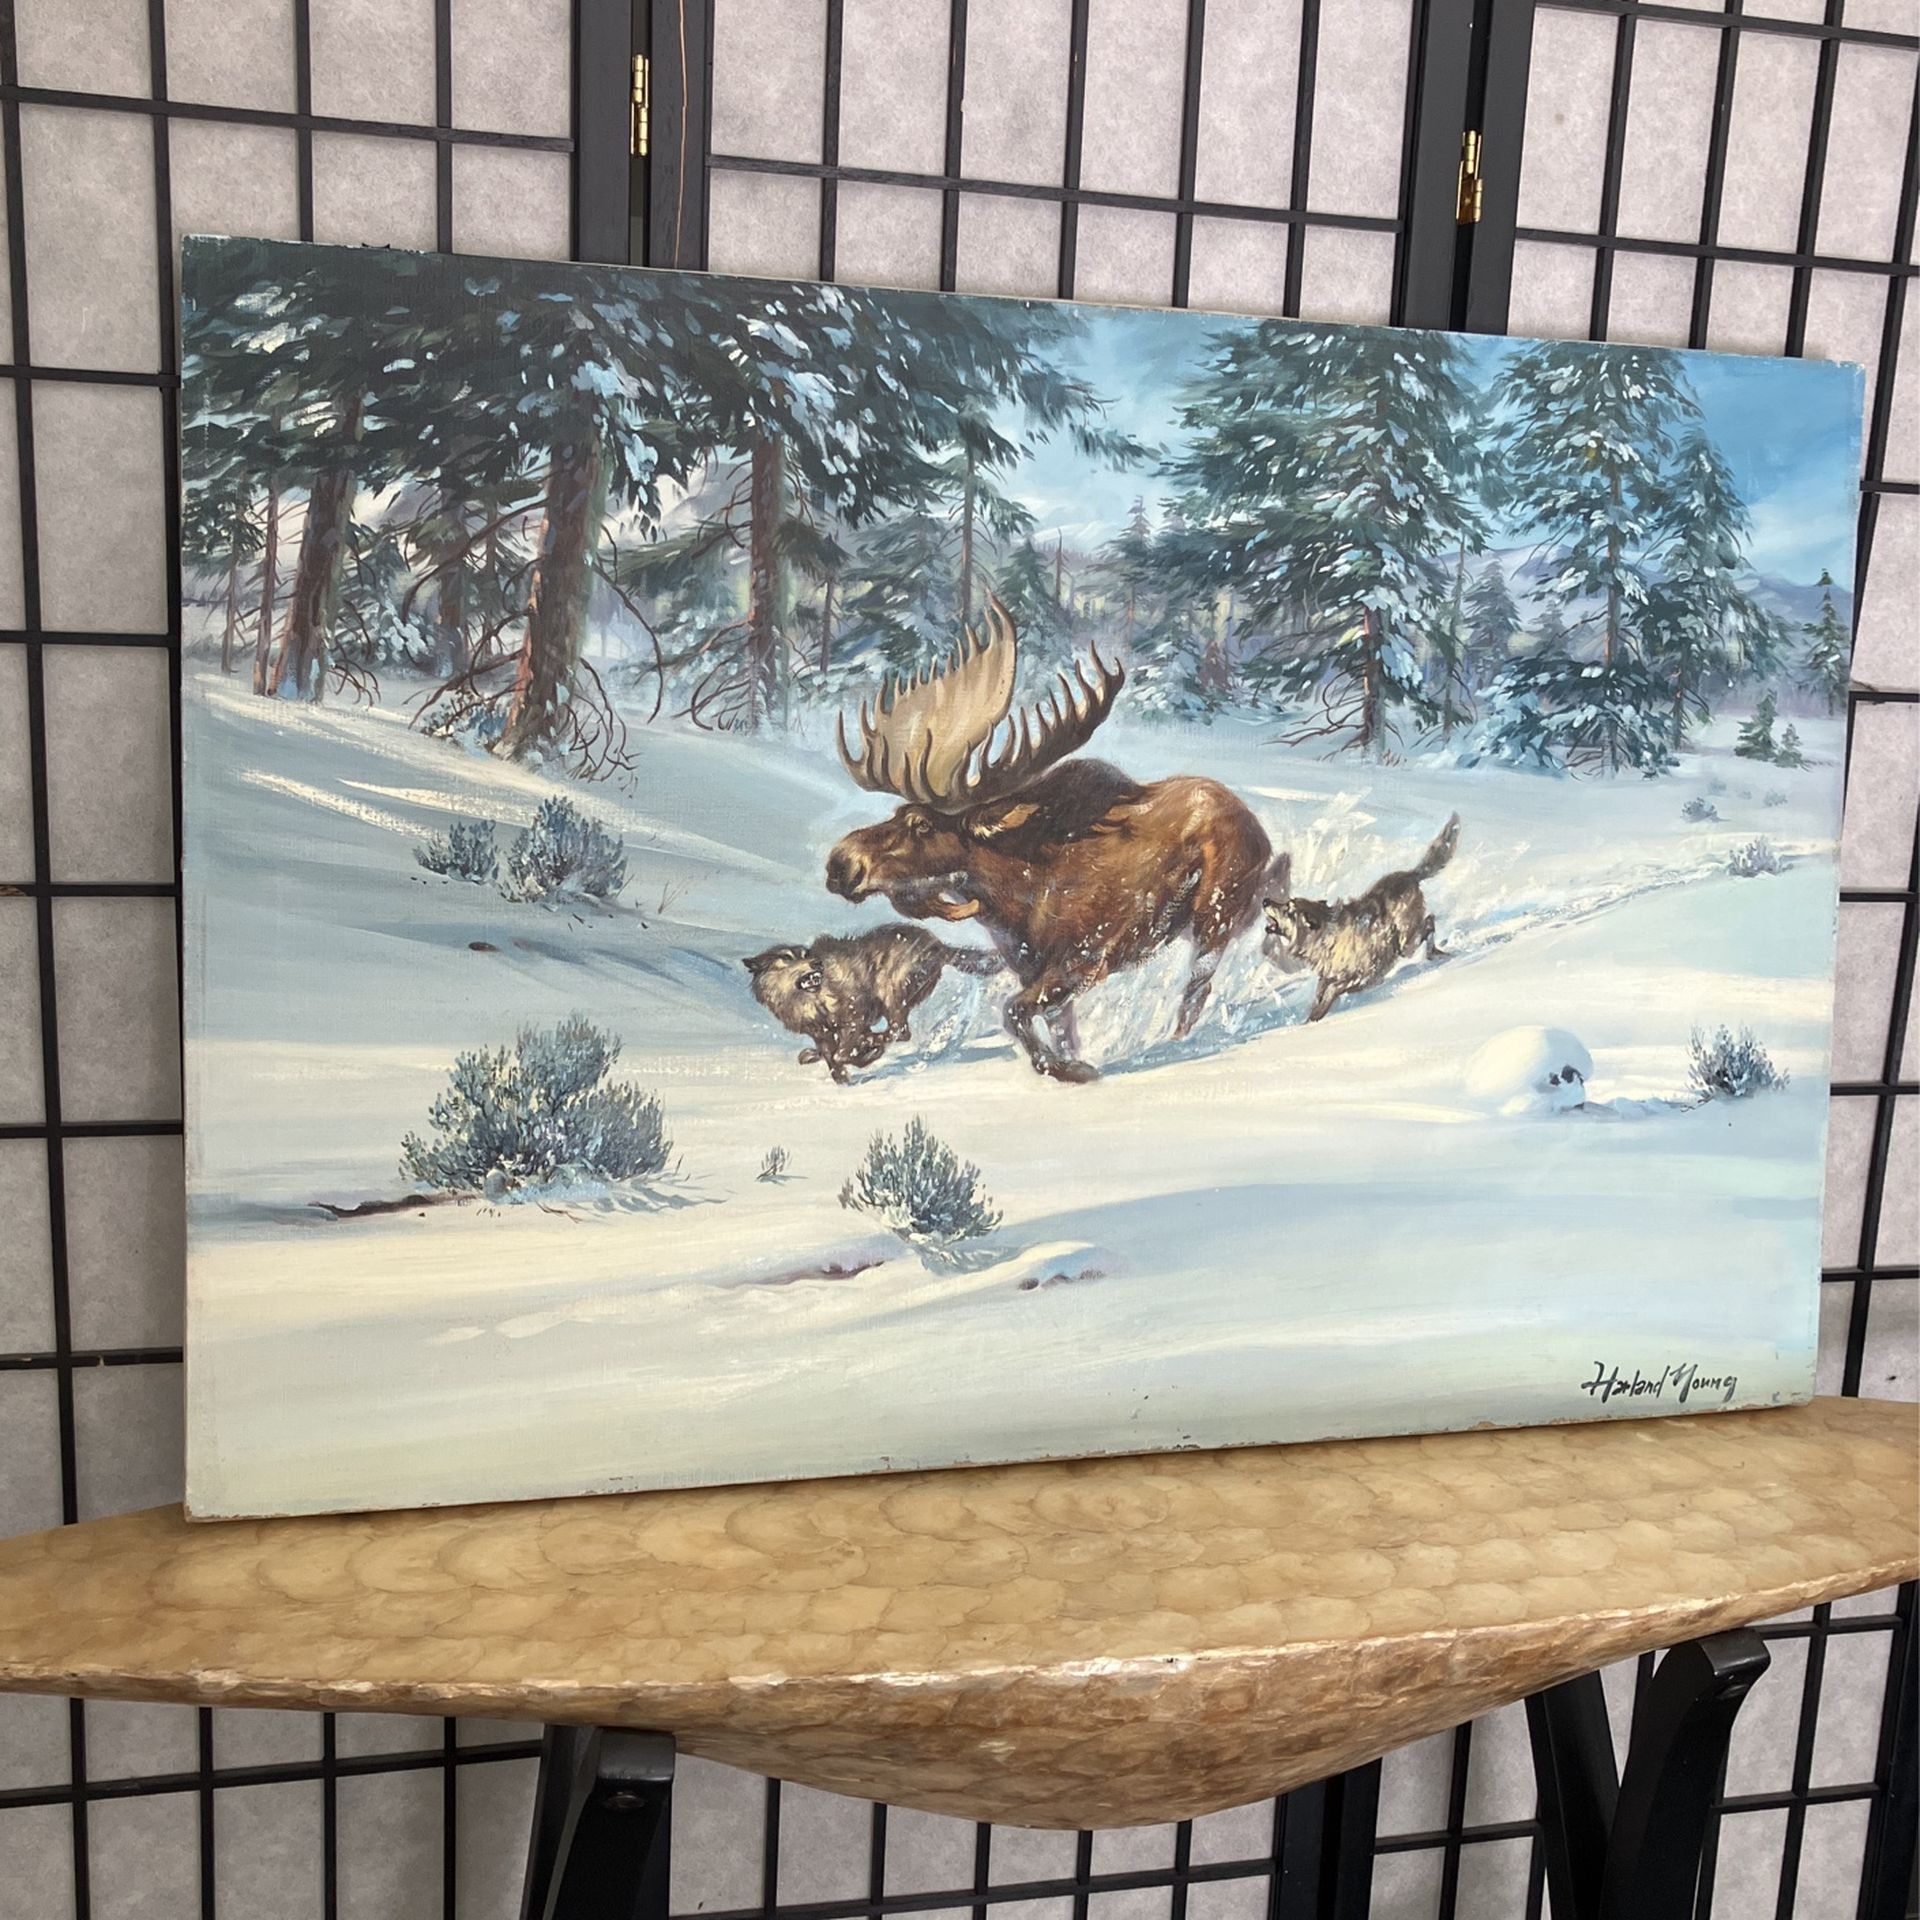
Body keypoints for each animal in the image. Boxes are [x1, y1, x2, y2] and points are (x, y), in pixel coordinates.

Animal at [743, 924, 1003, 1082]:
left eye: (806, 955)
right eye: (787, 957)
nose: (817, 963)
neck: (812, 999)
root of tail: (940, 945)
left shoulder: (854, 1014)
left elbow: (842, 1054)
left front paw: (865, 1054)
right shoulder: (821, 1034)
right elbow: (833, 1060)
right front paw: (843, 1075)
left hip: (890, 992)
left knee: (901, 1031)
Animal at [824, 595, 1278, 1082]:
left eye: (922, 824)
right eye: (895, 814)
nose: (839, 863)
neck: (1014, 902)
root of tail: (1260, 830)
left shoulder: (1085, 959)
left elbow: (1013, 1013)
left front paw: (1067, 1069)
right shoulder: (1032, 970)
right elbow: (1059, 1028)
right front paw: (1070, 1059)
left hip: (1216, 916)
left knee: (1197, 990)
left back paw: (1173, 1044)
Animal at [1261, 814, 1460, 1023]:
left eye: (1289, 910)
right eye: (1286, 903)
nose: (1265, 901)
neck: (1326, 938)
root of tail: (1410, 875)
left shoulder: (1359, 975)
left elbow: (1331, 991)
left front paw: (1315, 1017)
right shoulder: (1327, 976)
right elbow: (1320, 992)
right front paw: (1311, 1017)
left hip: (1406, 943)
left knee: (1430, 922)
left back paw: (1434, 953)